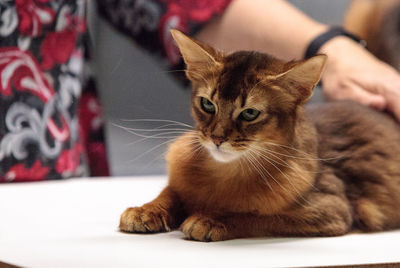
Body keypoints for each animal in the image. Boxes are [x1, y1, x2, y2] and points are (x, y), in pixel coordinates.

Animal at [118, 29, 400, 243]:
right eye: (207, 104)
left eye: (250, 113)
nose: (217, 138)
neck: (222, 174)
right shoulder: (181, 180)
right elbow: (171, 192)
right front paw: (146, 210)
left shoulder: (331, 210)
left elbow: (257, 216)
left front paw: (211, 219)